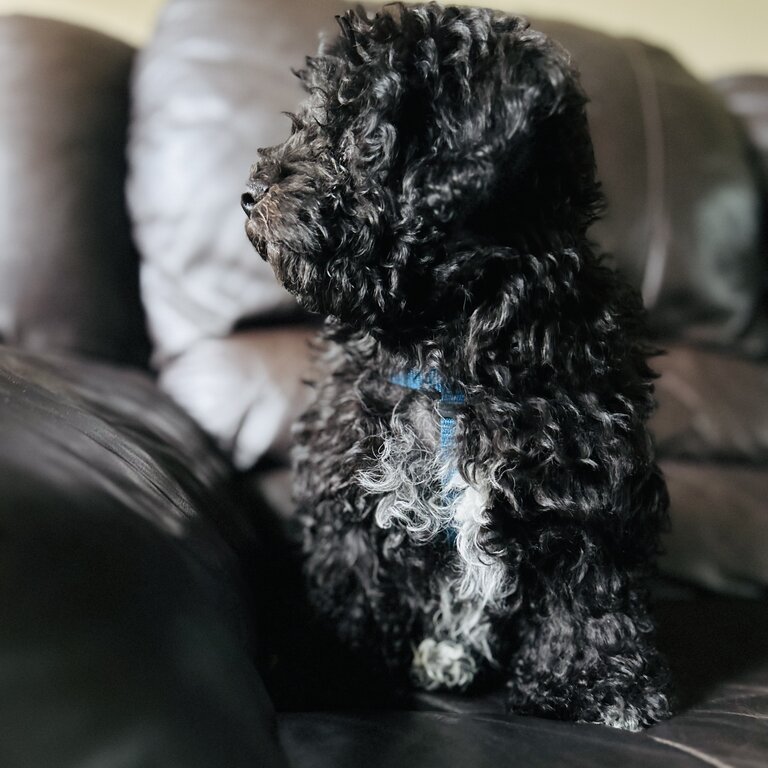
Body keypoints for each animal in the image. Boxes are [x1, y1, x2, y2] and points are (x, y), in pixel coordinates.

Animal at [243, 1, 668, 732]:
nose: (250, 192)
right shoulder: (350, 485)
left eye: (356, 131)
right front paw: (332, 675)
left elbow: (591, 588)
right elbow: (347, 588)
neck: (449, 352)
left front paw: (599, 688)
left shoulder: (588, 480)